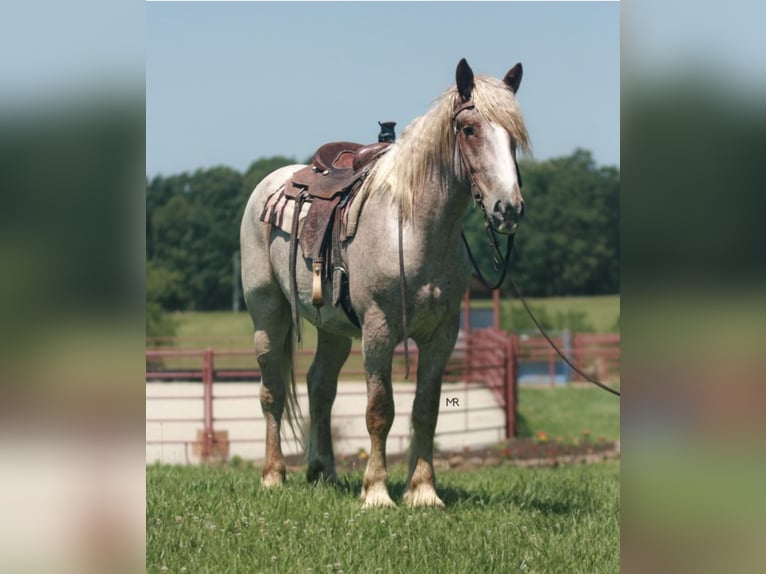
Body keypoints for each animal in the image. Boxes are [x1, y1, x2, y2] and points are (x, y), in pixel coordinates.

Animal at [243, 58, 532, 508]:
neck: (413, 227)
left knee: (320, 386)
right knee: (272, 389)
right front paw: (377, 493)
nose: (508, 209)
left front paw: (423, 491)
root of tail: (271, 183)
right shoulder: (379, 329)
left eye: (514, 135)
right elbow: (380, 410)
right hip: (267, 314)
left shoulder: (442, 334)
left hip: (333, 328)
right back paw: (273, 475)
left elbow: (425, 410)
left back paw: (323, 471)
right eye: (469, 129)